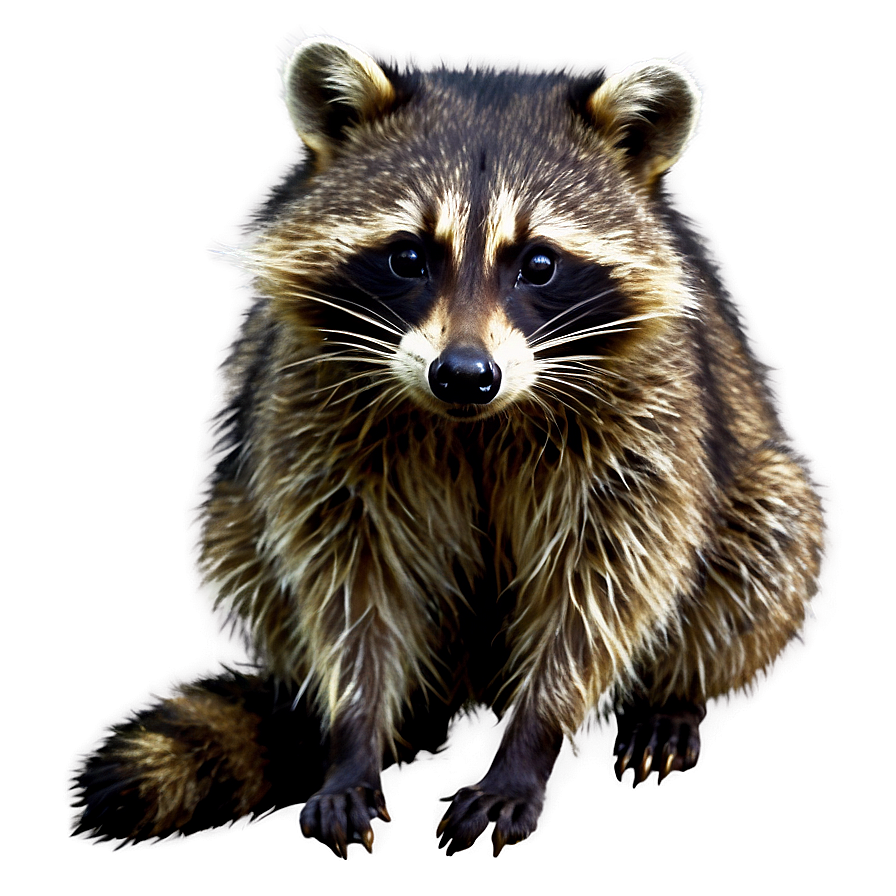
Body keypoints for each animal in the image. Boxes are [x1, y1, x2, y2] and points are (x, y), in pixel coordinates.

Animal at [72, 38, 825, 858]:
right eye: (408, 257)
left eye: (538, 263)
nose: (465, 374)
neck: (473, 420)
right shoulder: (310, 411)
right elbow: (346, 577)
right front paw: (353, 733)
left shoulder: (647, 414)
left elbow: (605, 579)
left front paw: (533, 738)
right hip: (238, 505)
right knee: (244, 532)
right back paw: (409, 718)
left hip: (755, 478)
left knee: (768, 531)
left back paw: (675, 695)